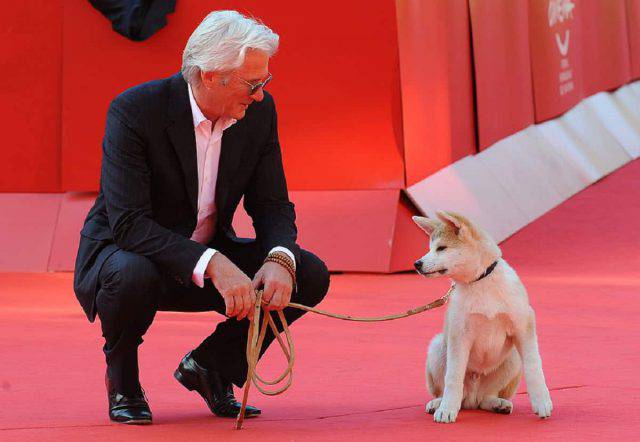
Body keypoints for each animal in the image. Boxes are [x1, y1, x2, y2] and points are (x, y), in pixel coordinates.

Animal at [412, 212, 552, 424]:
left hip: (512, 358)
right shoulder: (459, 335)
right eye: (430, 248)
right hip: (437, 347)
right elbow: (453, 378)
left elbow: (534, 367)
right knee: (450, 391)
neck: (480, 281)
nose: (417, 264)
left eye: (441, 248)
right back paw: (439, 402)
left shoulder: (523, 326)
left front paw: (542, 401)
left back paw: (498, 404)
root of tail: (471, 398)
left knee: (486, 397)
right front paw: (446, 410)